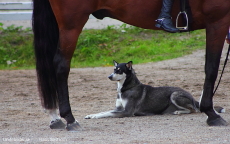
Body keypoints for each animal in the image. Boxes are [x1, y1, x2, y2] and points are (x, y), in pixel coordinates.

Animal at [85, 60, 225, 118]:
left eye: (119, 71)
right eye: (114, 69)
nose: (109, 76)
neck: (126, 88)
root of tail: (191, 96)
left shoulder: (127, 112)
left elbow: (107, 114)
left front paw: (94, 117)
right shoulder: (119, 108)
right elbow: (104, 111)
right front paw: (91, 115)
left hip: (174, 95)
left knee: (194, 110)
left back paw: (179, 112)